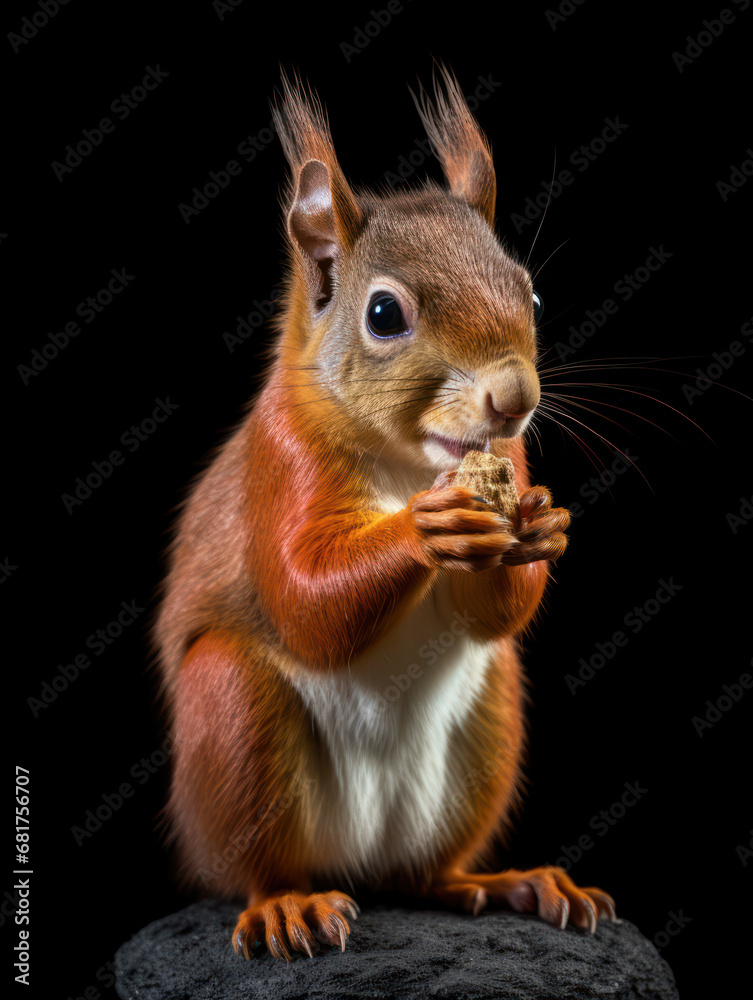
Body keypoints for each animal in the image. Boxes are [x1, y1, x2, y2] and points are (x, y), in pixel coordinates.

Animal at [154, 64, 617, 961]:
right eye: (382, 315)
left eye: (533, 295)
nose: (514, 399)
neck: (412, 465)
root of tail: (358, 860)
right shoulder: (279, 467)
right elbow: (304, 601)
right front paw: (422, 531)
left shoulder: (505, 458)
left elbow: (490, 614)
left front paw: (541, 526)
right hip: (231, 720)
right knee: (255, 865)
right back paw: (285, 905)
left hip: (489, 725)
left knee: (427, 876)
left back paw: (505, 883)